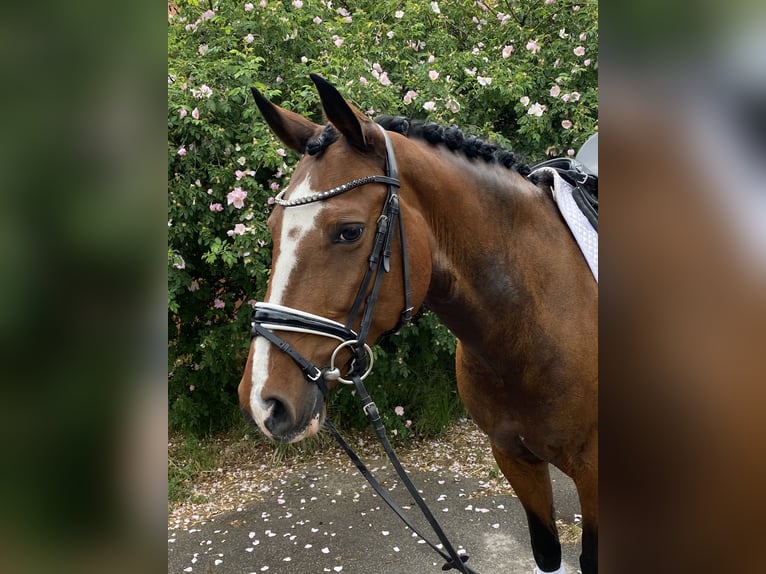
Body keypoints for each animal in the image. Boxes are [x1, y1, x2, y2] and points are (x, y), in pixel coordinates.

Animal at [240, 76, 600, 574]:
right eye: (273, 226)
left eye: (349, 231)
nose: (262, 400)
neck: (536, 322)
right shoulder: (514, 457)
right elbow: (548, 552)